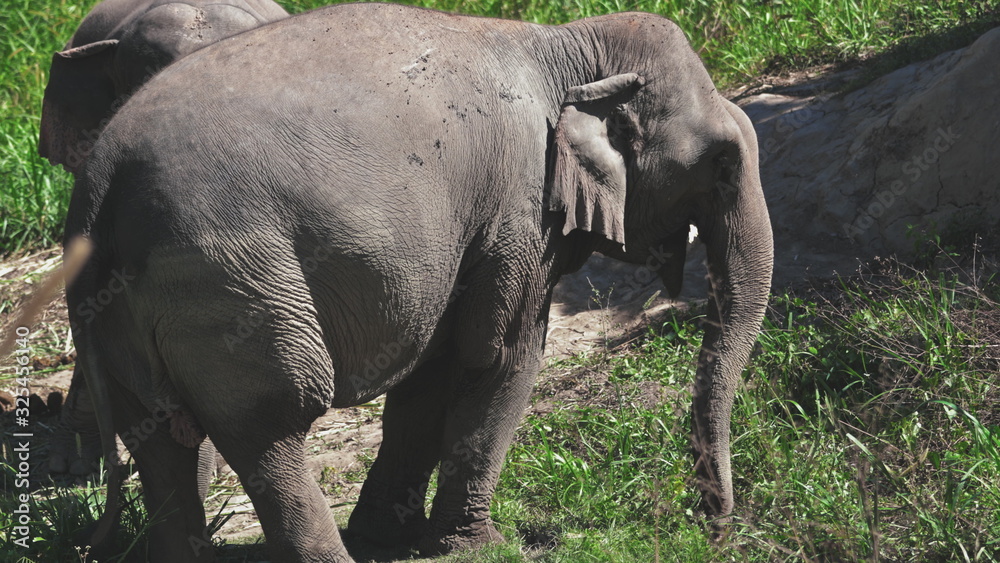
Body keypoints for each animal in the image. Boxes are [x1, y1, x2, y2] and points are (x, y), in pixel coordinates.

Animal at [66, 3, 773, 561]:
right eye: (722, 163)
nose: (714, 528)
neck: (564, 45)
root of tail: (99, 189)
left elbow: (430, 373)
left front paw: (388, 538)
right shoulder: (517, 206)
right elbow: (501, 358)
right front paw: (480, 547)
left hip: (124, 313)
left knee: (157, 441)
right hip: (235, 289)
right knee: (272, 424)